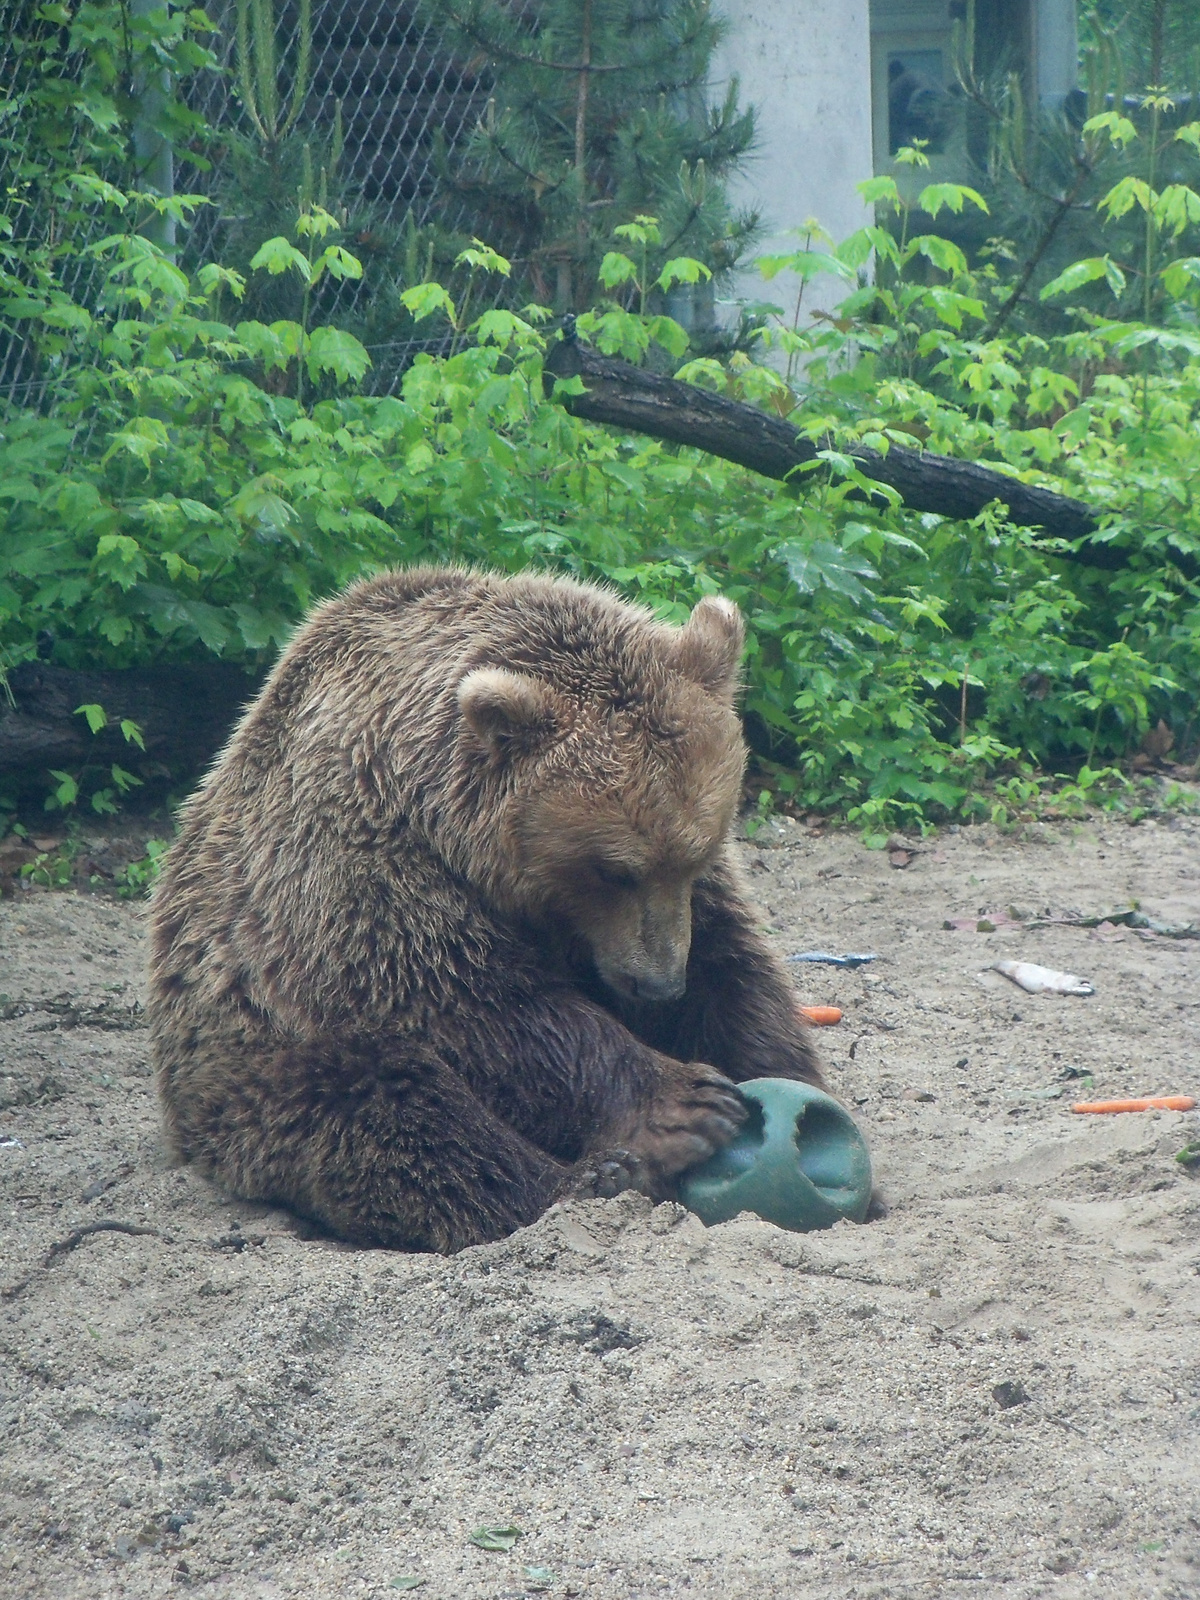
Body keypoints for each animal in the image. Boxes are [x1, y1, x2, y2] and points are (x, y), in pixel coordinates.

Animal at [150, 569, 838, 1254]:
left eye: (697, 854)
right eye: (615, 869)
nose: (659, 984)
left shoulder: (690, 904)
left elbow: (733, 973)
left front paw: (785, 1082)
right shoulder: (362, 862)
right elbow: (470, 1001)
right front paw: (685, 1102)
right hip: (251, 1058)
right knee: (389, 1108)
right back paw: (594, 1177)